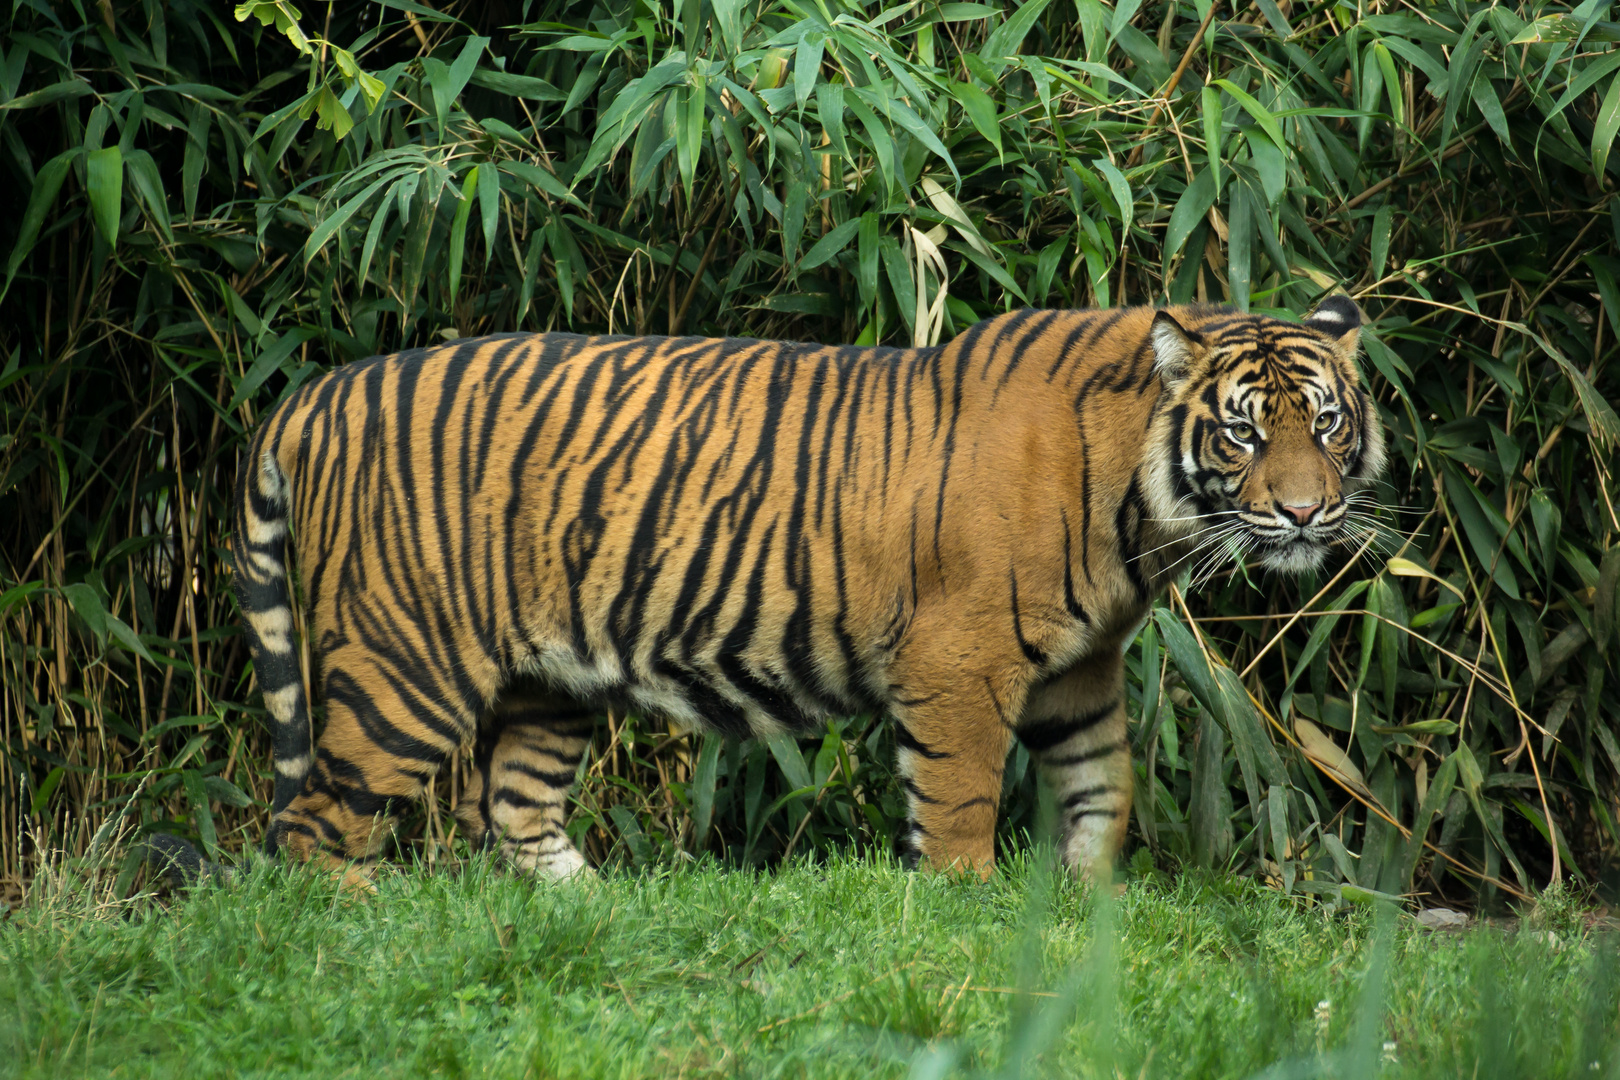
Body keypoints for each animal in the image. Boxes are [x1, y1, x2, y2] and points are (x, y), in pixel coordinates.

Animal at [228, 297, 1386, 887]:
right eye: (1243, 433)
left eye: (1327, 423)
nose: (1304, 514)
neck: (1140, 519)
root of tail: (312, 393)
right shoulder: (957, 666)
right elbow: (960, 802)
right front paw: (966, 910)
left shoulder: (1080, 669)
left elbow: (1105, 788)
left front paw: (1089, 906)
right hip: (406, 669)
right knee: (315, 830)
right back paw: (361, 928)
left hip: (550, 678)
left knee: (512, 808)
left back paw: (599, 913)